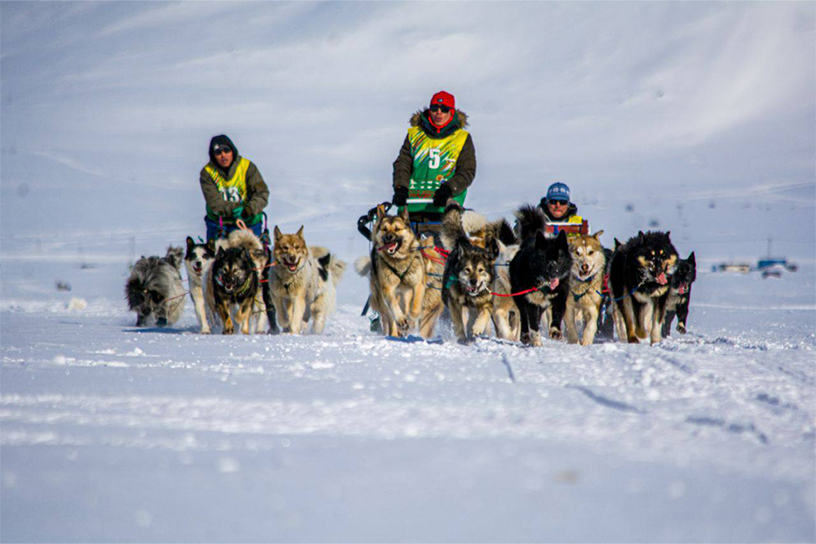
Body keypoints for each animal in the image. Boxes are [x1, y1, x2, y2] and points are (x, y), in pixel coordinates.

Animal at [440, 204, 501, 343]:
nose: (473, 281)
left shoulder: (487, 302)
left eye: (481, 270)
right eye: (467, 270)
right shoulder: (454, 303)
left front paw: (477, 328)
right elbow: (458, 322)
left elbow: (484, 313)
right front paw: (462, 338)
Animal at [510, 205, 572, 346]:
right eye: (544, 259)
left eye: (559, 258)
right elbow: (532, 323)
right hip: (519, 297)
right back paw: (526, 336)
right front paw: (536, 340)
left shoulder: (560, 296)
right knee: (524, 317)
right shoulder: (530, 301)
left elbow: (557, 314)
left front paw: (555, 331)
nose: (553, 274)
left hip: (542, 305)